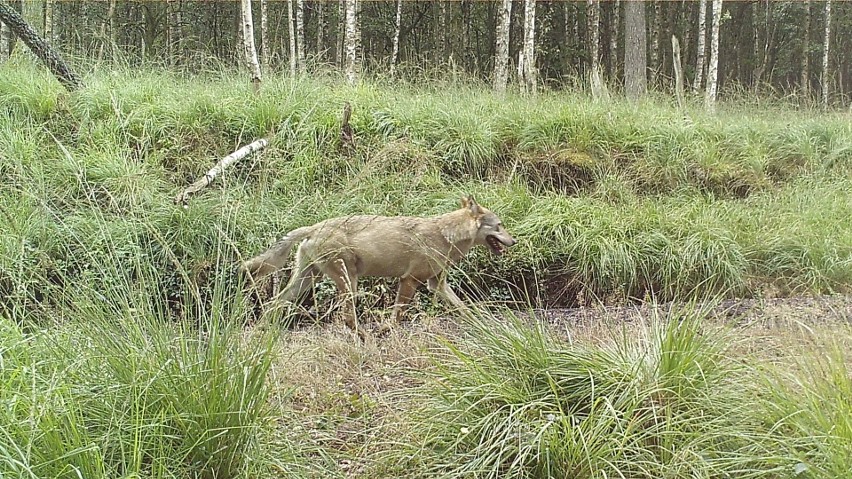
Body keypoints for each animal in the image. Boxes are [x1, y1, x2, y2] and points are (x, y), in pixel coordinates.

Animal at [241, 197, 520, 336]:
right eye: (500, 226)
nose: (515, 241)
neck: (445, 235)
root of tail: (314, 227)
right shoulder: (409, 281)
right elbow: (396, 318)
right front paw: (384, 331)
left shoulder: (436, 284)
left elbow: (466, 309)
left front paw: (484, 326)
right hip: (348, 284)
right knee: (348, 320)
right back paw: (366, 340)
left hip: (307, 281)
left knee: (273, 303)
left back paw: (261, 333)